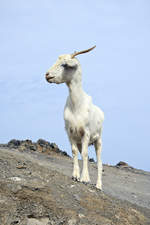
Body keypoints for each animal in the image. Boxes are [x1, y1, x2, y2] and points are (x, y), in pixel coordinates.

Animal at [45, 46, 104, 190]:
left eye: (64, 64)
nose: (47, 75)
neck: (77, 105)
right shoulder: (70, 133)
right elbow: (75, 152)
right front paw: (76, 176)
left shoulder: (86, 133)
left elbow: (85, 154)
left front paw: (84, 179)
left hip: (98, 140)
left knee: (99, 162)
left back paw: (98, 185)